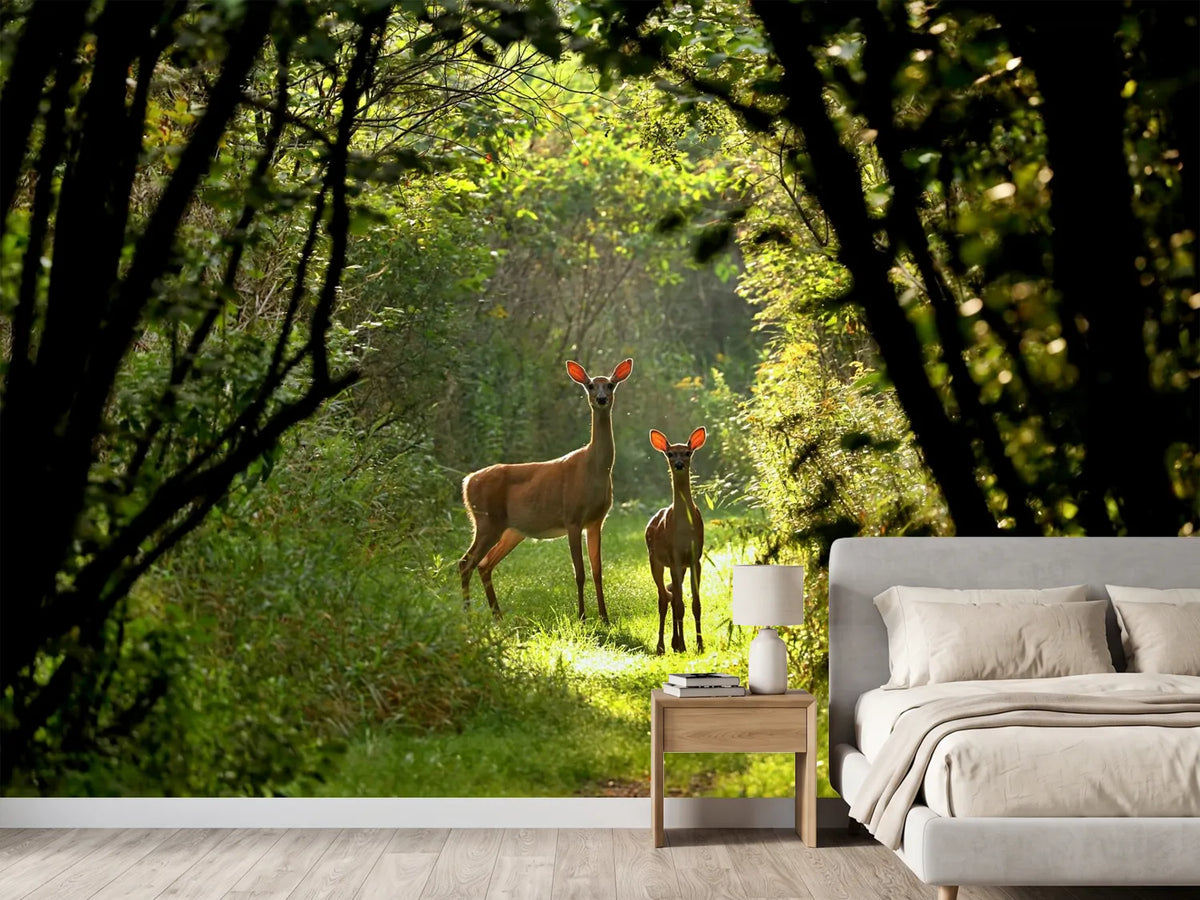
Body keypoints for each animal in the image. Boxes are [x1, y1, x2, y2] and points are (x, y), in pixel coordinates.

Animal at [459, 358, 634, 622]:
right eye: (591, 385)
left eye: (611, 385)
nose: (602, 399)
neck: (594, 469)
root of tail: (467, 482)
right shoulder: (572, 517)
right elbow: (579, 572)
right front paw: (582, 617)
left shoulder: (596, 521)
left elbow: (597, 570)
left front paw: (605, 617)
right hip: (487, 521)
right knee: (465, 562)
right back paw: (468, 617)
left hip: (511, 530)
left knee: (484, 564)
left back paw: (497, 617)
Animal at [645, 427, 706, 655]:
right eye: (670, 454)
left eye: (688, 452)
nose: (679, 464)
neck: (684, 529)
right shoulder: (674, 557)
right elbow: (680, 605)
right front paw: (684, 645)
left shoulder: (695, 558)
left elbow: (695, 604)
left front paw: (699, 645)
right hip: (654, 560)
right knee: (664, 598)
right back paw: (663, 646)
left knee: (671, 595)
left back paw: (675, 643)